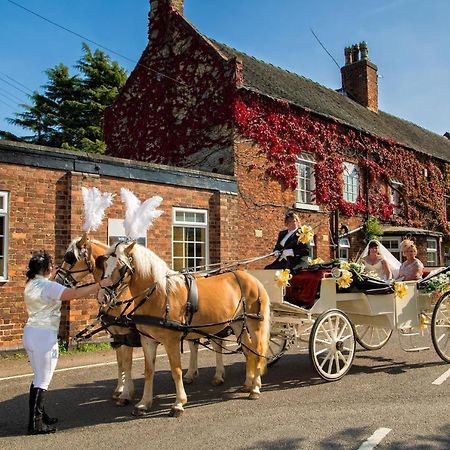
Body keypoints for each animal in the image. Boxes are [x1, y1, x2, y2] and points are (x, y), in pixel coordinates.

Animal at [100, 241, 270, 416]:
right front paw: (144, 403)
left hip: (254, 323)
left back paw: (255, 388)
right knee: (249, 351)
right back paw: (248, 383)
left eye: (121, 266)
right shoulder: (147, 340)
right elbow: (148, 371)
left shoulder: (171, 341)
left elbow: (176, 371)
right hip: (237, 323)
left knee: (257, 351)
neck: (159, 294)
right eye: (105, 264)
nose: (104, 296)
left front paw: (178, 403)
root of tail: (253, 280)